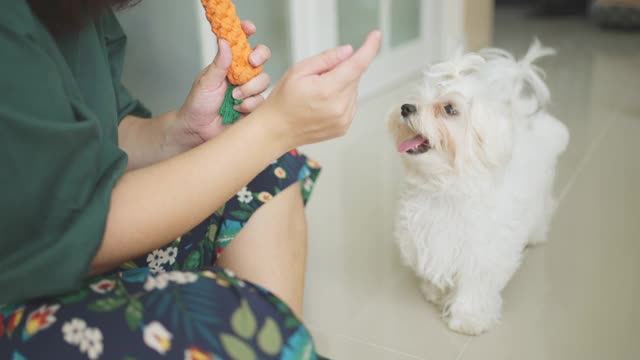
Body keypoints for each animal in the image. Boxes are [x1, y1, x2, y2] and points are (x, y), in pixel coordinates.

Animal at [388, 40, 568, 336]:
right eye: (418, 98)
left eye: (450, 109)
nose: (405, 108)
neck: (446, 187)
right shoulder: (427, 238)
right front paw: (434, 291)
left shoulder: (482, 253)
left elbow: (475, 287)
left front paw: (468, 319)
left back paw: (536, 235)